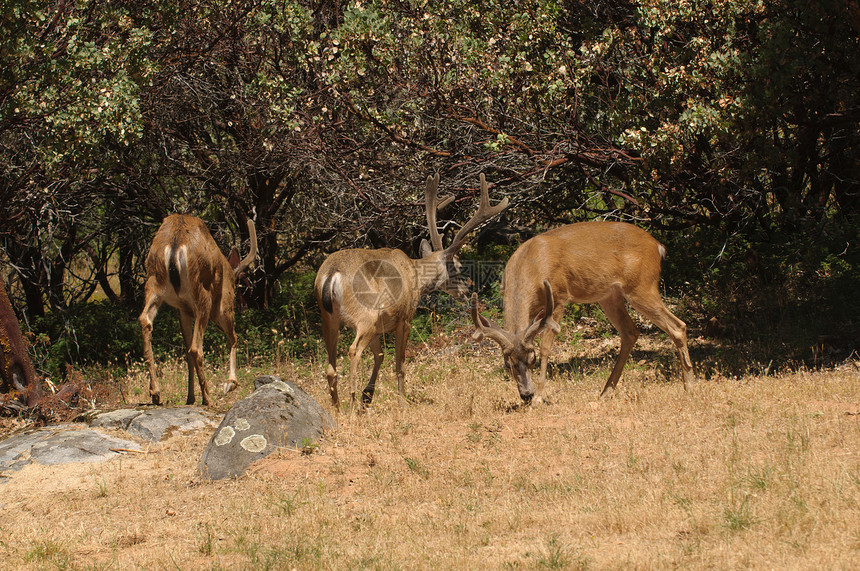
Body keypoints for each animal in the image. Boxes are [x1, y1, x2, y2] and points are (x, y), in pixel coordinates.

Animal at [138, 214, 255, 406]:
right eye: (237, 286)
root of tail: (175, 244)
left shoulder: (183, 310)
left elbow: (186, 353)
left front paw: (190, 398)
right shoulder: (224, 305)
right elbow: (233, 338)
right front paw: (230, 383)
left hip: (153, 283)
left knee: (145, 320)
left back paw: (156, 393)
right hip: (203, 294)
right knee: (196, 348)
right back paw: (208, 398)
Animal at [314, 174, 504, 412]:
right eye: (459, 266)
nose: (465, 291)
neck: (415, 275)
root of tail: (332, 274)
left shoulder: (380, 326)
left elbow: (380, 355)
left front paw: (368, 395)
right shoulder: (404, 318)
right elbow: (400, 363)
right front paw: (401, 403)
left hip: (328, 317)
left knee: (330, 366)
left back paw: (338, 408)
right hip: (365, 316)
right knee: (353, 351)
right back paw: (351, 409)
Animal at [466, 221, 696, 404]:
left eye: (532, 359)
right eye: (507, 364)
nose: (526, 395)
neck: (529, 264)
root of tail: (658, 246)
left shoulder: (558, 297)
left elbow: (547, 346)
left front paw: (540, 396)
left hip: (641, 285)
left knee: (678, 326)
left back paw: (689, 387)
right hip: (609, 295)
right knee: (630, 331)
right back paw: (606, 391)